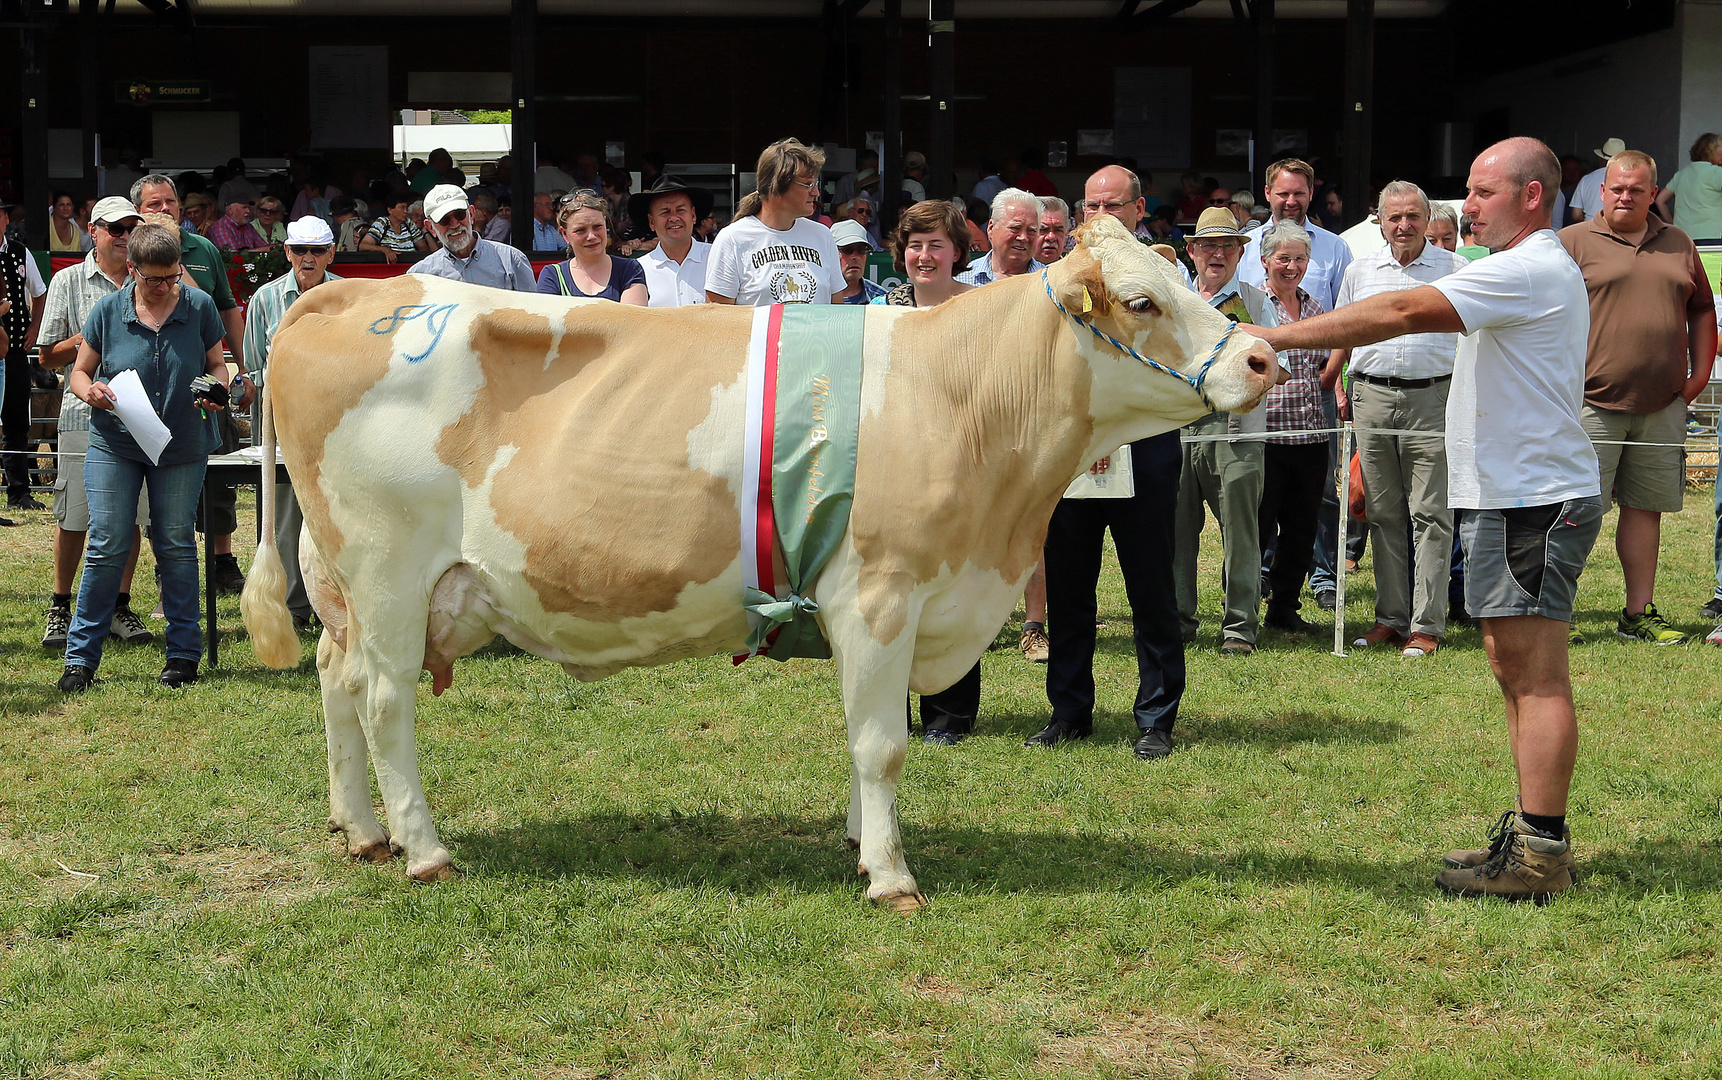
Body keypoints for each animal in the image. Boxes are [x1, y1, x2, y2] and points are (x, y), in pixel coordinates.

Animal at [246, 215, 1281, 916]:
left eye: (1183, 275)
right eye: (1142, 302)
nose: (1265, 358)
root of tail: (347, 291)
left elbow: (866, 737)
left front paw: (863, 842)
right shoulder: (879, 592)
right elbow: (884, 742)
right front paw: (892, 878)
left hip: (342, 583)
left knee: (337, 683)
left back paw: (361, 833)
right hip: (388, 572)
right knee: (385, 700)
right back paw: (423, 849)